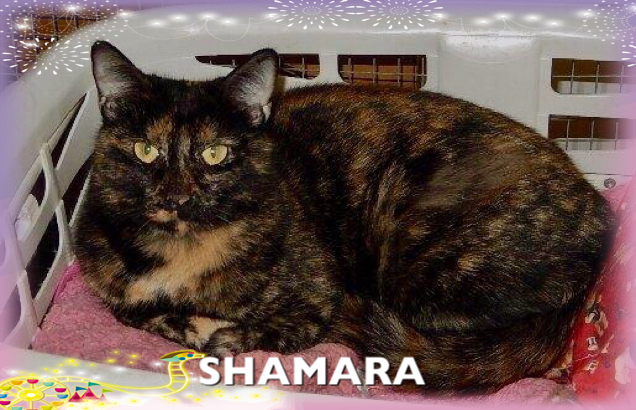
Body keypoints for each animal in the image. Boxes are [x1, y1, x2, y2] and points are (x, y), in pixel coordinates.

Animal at [75, 41, 615, 394]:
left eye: (214, 154)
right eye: (145, 150)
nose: (176, 195)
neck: (179, 249)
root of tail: (598, 217)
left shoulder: (316, 298)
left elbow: (269, 329)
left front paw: (215, 333)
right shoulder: (108, 282)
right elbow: (130, 310)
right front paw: (181, 323)